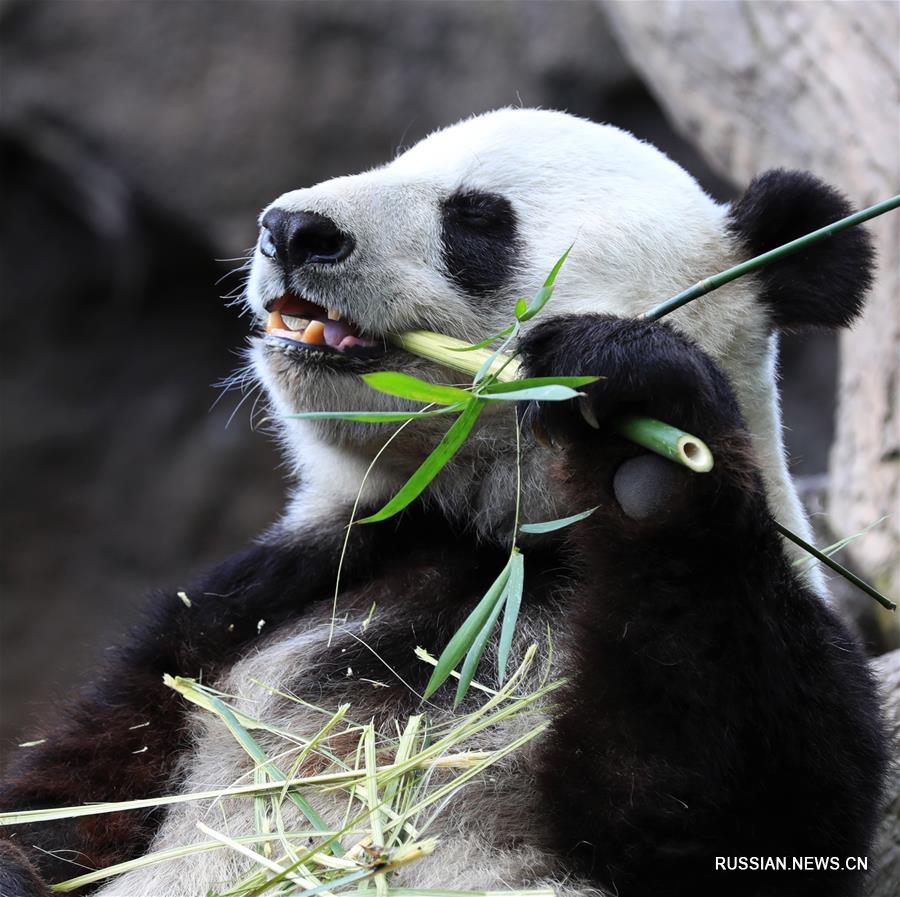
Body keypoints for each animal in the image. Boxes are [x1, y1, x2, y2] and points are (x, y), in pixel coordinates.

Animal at [0, 112, 884, 896]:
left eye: (477, 218)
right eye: (394, 164)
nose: (293, 229)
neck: (495, 528)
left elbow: (735, 802)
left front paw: (644, 444)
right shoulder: (257, 597)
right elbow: (73, 796)